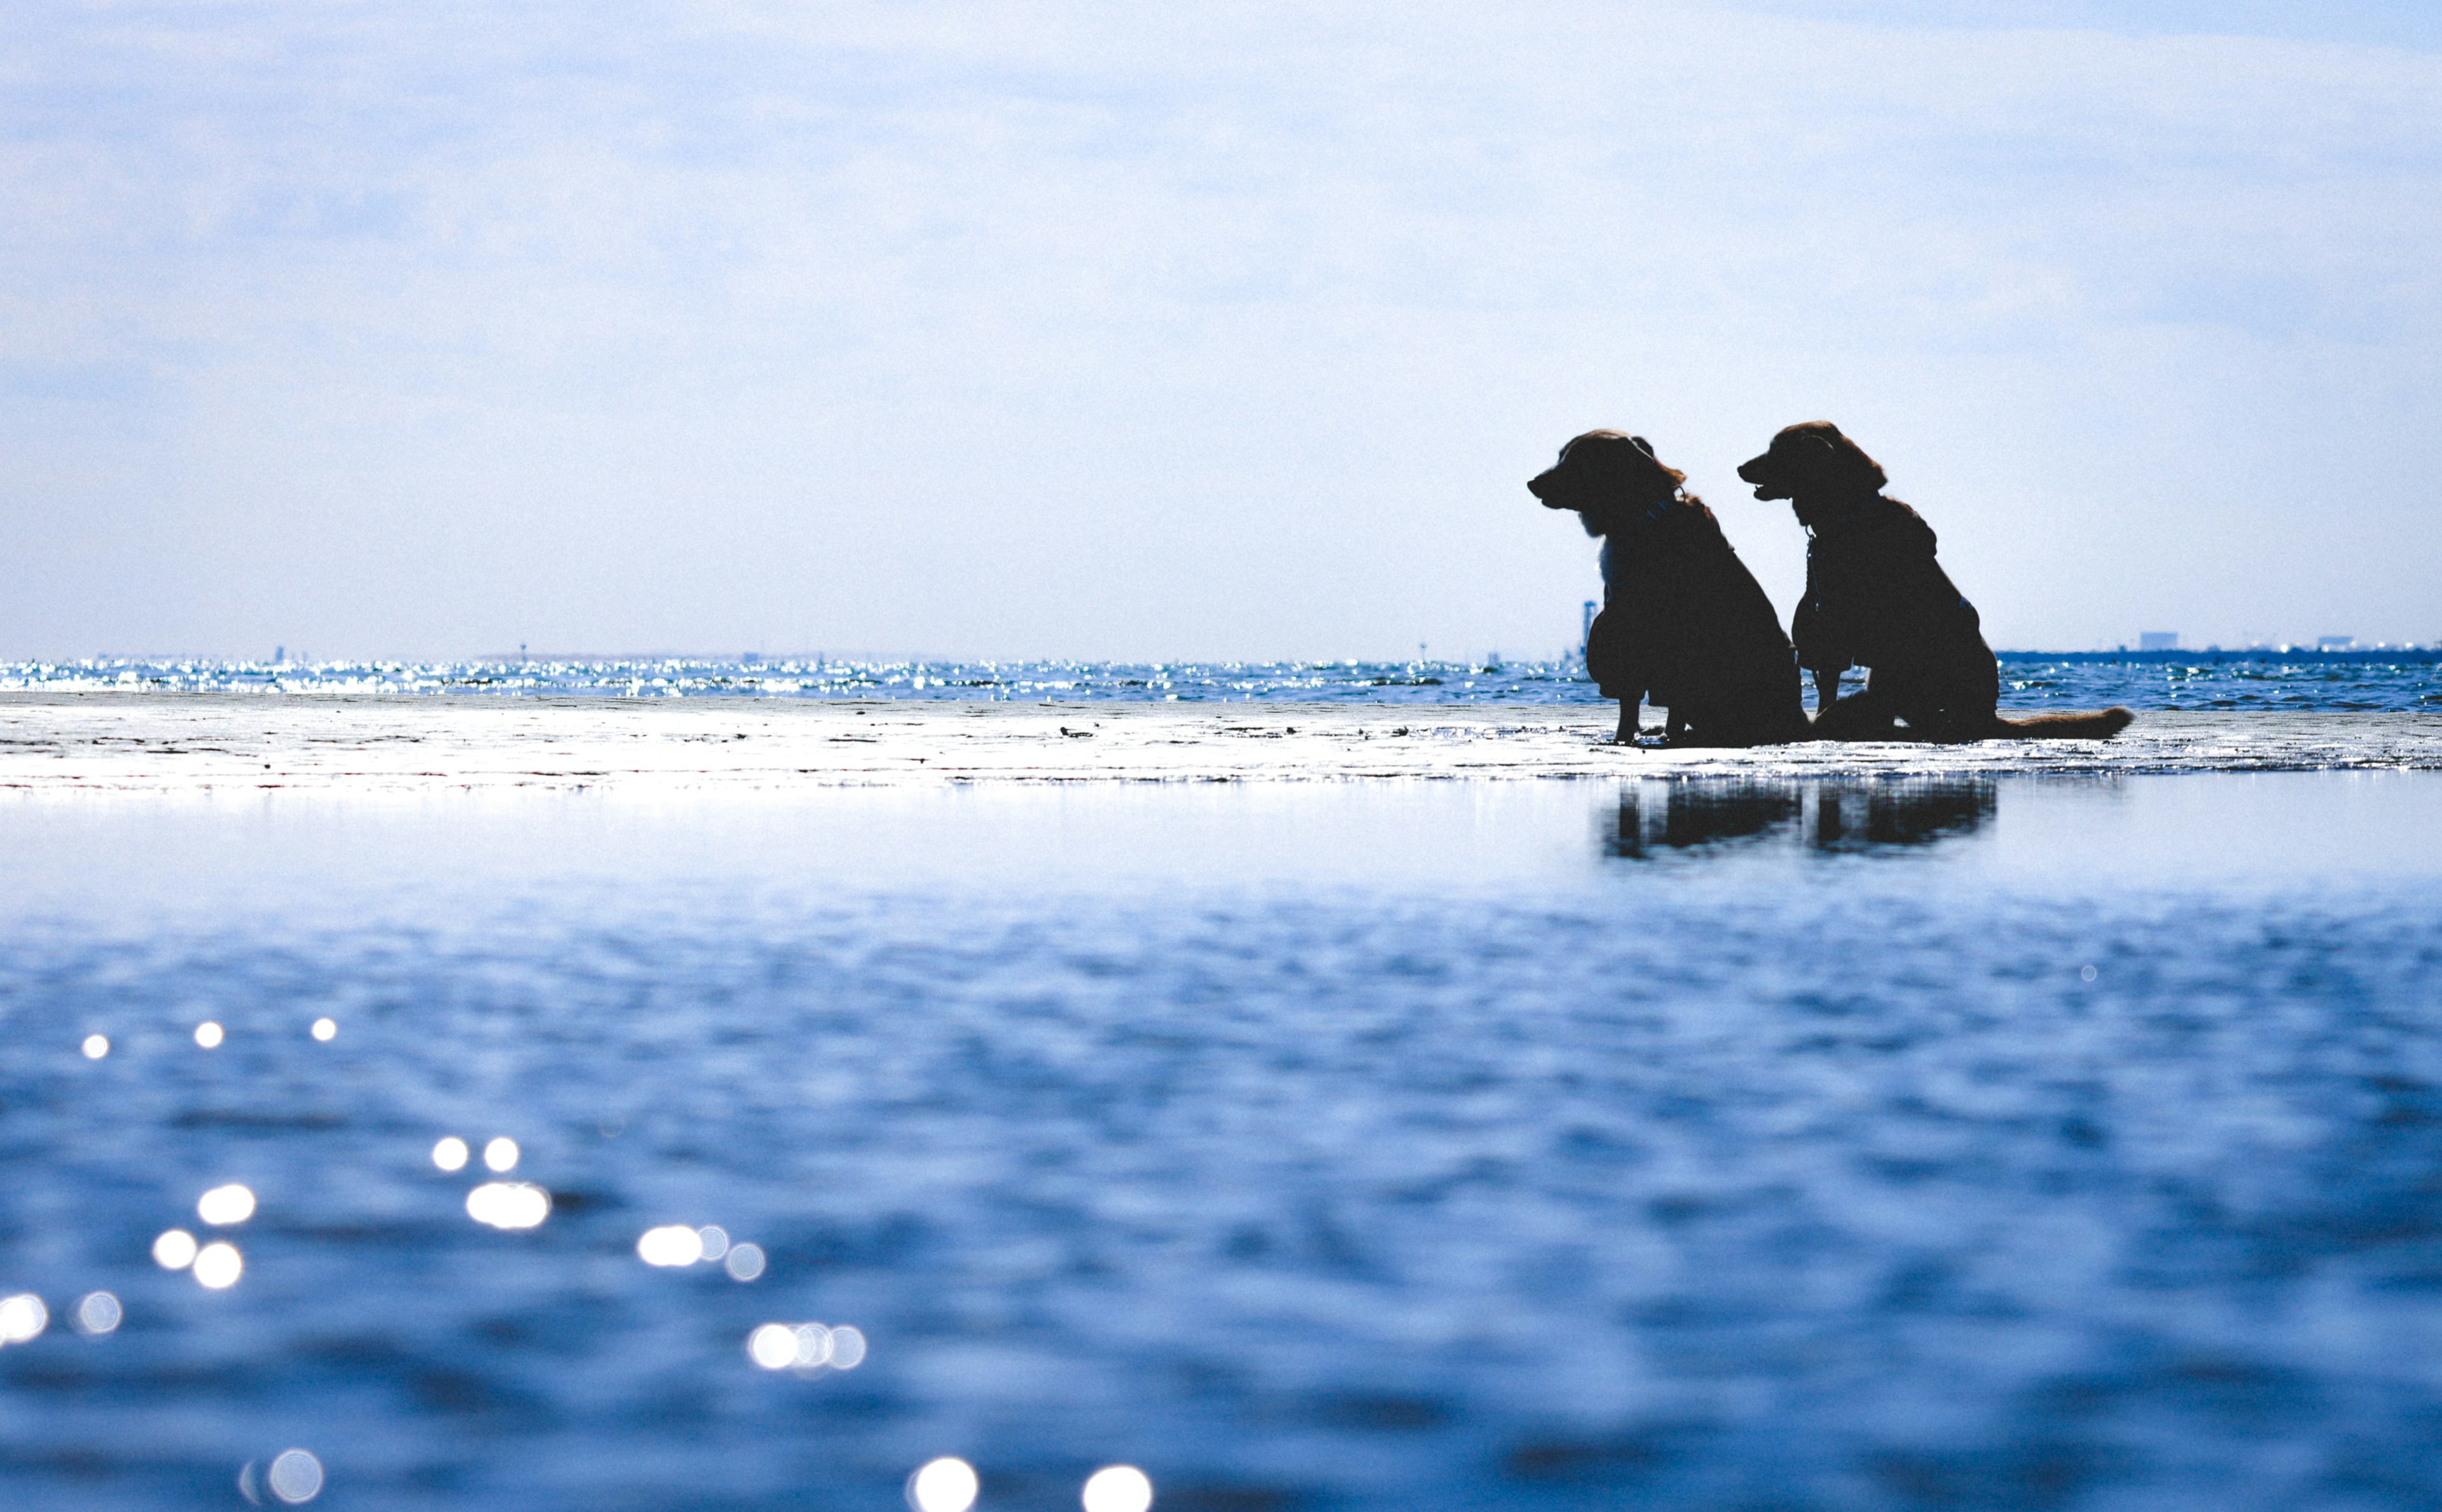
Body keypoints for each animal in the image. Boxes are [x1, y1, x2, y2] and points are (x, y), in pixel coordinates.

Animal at [1533, 432, 1807, 747]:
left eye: (1576, 461)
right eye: (1561, 457)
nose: (1531, 483)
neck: (1638, 518)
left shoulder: (1671, 639)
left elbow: (1666, 701)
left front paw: (1661, 736)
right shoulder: (1619, 622)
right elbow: (1629, 704)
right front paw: (1627, 736)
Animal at [1739, 422, 2120, 742]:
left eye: (1776, 451)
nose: (1740, 468)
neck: (1848, 514)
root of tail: (1988, 716)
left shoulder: (1832, 628)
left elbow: (1827, 686)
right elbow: (1826, 689)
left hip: (1899, 659)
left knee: (1918, 716)